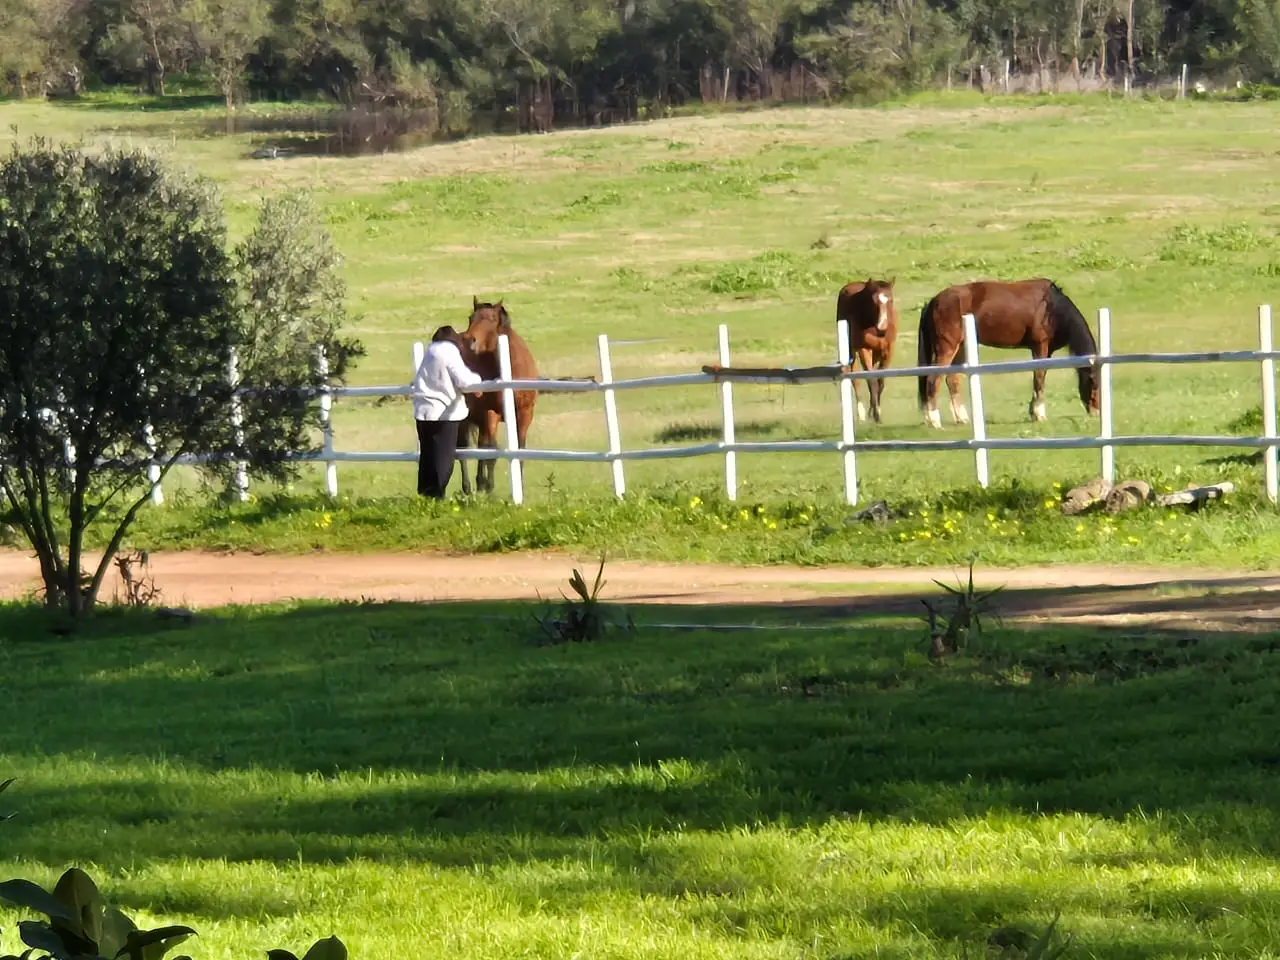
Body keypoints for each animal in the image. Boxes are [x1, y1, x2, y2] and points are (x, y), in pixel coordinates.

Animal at [456, 297, 538, 495]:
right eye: (471, 318)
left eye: (492, 319)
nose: (468, 340)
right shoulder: (490, 414)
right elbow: (492, 451)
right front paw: (490, 488)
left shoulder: (525, 415)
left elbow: (519, 448)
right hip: (465, 420)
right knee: (464, 449)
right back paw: (469, 487)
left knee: (480, 446)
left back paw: (480, 483)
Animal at [835, 278, 898, 423]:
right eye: (873, 301)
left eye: (891, 300)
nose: (882, 327)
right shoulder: (864, 349)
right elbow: (871, 380)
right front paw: (876, 415)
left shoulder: (888, 349)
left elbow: (880, 380)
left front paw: (877, 411)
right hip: (852, 350)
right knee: (854, 377)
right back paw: (862, 413)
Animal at [916, 278, 1100, 429]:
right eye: (1094, 383)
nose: (1096, 413)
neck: (1051, 308)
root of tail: (932, 302)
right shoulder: (1039, 347)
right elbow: (1039, 379)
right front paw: (1039, 414)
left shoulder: (1047, 352)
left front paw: (1034, 412)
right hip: (947, 348)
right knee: (933, 380)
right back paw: (935, 421)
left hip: (960, 347)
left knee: (952, 380)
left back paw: (962, 418)